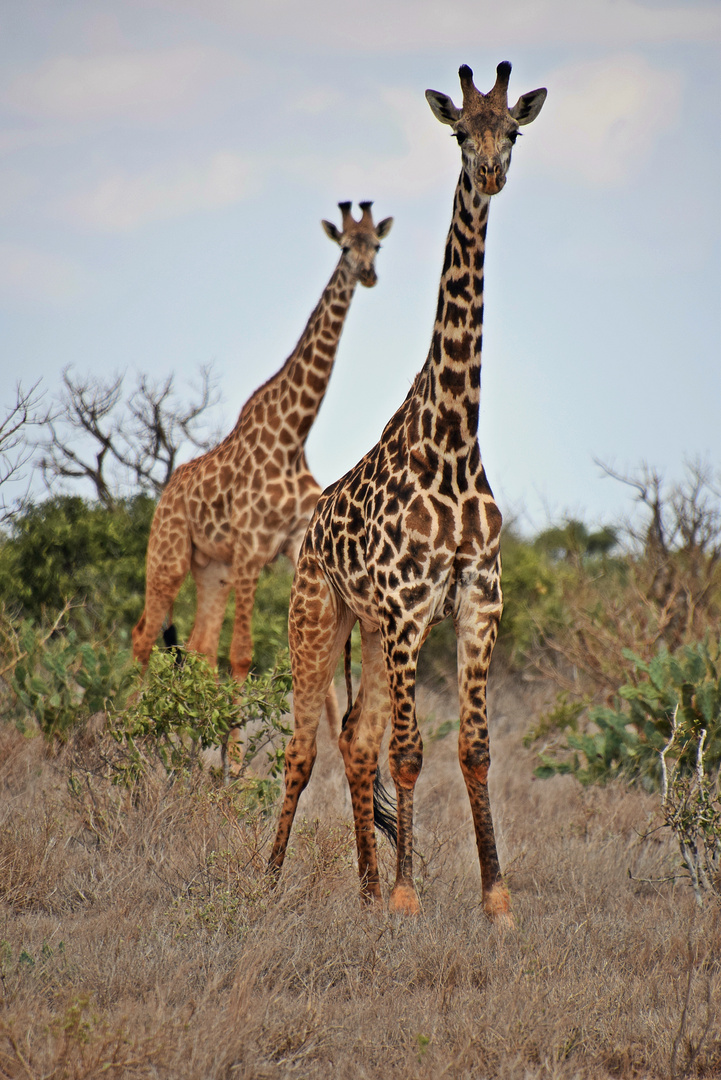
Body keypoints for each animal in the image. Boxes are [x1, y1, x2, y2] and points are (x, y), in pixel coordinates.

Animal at [133, 201, 395, 738]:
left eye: (377, 245)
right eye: (345, 246)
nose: (369, 274)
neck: (294, 434)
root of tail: (165, 494)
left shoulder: (294, 543)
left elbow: (315, 673)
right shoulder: (252, 547)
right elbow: (242, 655)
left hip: (211, 569)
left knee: (198, 649)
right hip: (169, 558)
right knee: (144, 635)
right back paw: (129, 730)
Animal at [269, 59, 546, 924]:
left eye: (512, 128)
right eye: (460, 132)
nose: (489, 173)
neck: (453, 442)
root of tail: (311, 527)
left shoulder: (477, 600)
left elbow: (473, 748)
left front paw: (495, 899)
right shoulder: (404, 609)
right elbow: (410, 750)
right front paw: (406, 896)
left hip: (363, 627)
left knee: (352, 740)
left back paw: (360, 888)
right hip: (318, 614)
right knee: (304, 746)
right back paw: (268, 880)